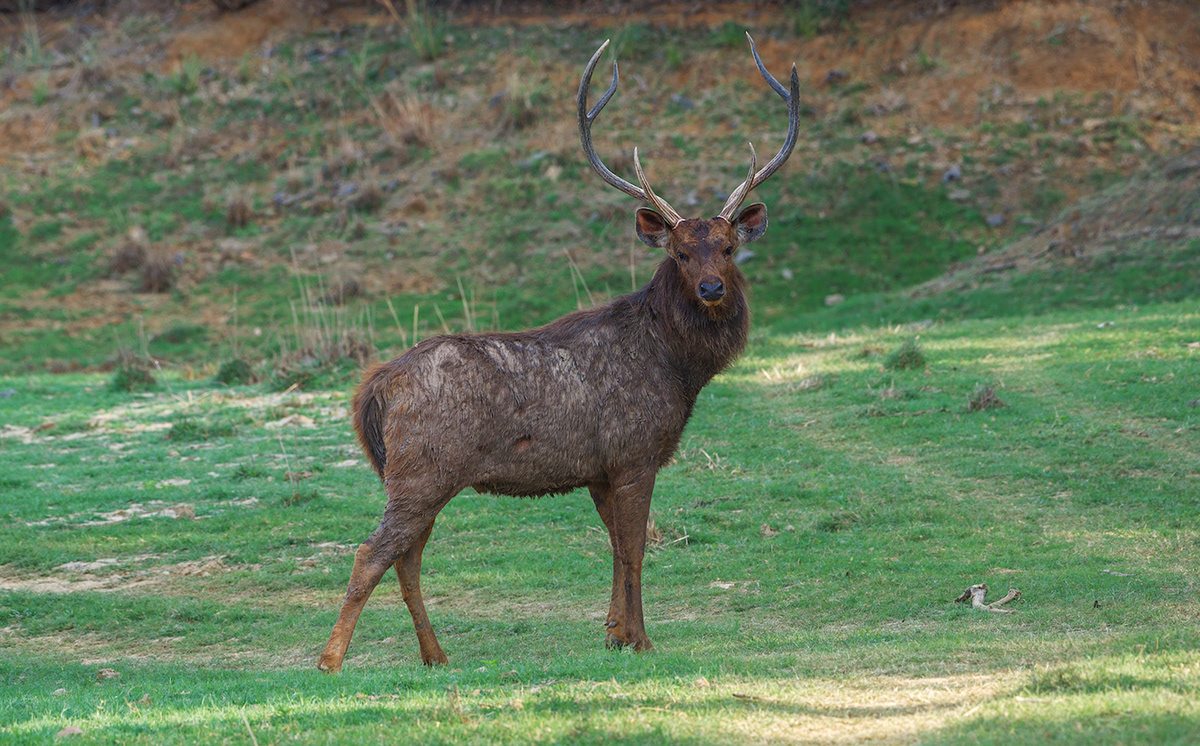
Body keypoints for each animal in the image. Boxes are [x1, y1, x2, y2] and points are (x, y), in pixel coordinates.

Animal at [319, 35, 801, 676]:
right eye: (677, 251)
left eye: (726, 247)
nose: (711, 288)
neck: (680, 369)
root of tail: (373, 386)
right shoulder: (633, 452)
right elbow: (635, 550)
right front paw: (641, 639)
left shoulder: (598, 470)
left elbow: (617, 549)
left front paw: (614, 632)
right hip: (422, 470)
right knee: (371, 553)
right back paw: (331, 660)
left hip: (417, 476)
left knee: (407, 557)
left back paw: (436, 655)